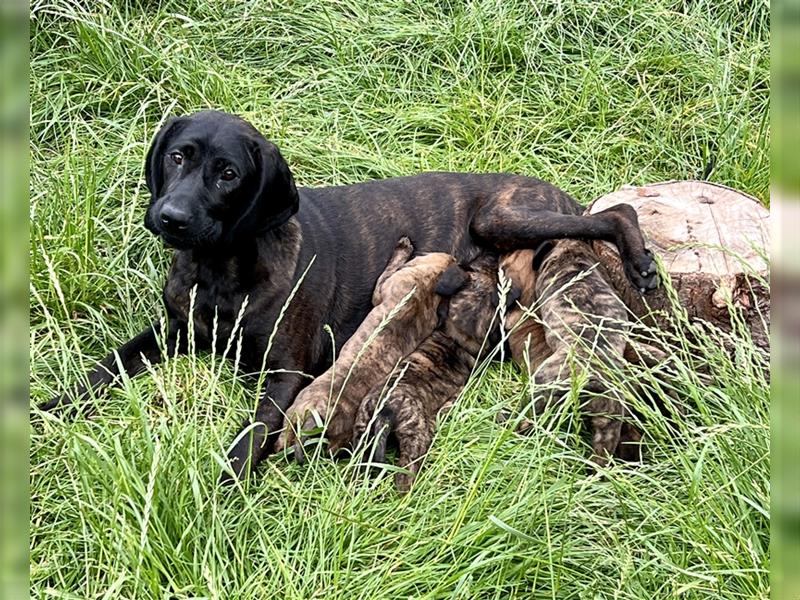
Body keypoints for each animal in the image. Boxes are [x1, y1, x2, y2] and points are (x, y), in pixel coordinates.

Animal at [350, 253, 506, 492]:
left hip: (363, 430)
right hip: (414, 440)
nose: (493, 257)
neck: (457, 337)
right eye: (480, 270)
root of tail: (387, 409)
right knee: (405, 479)